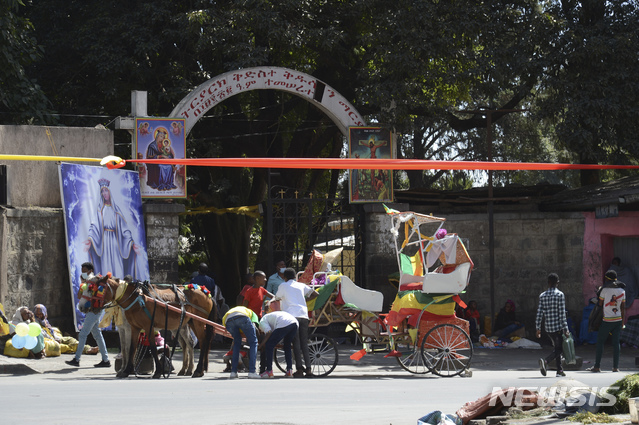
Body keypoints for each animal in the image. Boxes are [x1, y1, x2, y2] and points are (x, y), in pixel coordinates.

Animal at [78, 274, 216, 378]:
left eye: (92, 289)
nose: (81, 307)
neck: (136, 298)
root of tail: (206, 293)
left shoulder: (147, 326)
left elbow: (152, 348)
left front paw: (158, 371)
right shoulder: (134, 328)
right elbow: (131, 348)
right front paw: (126, 370)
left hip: (198, 322)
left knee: (202, 342)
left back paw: (197, 370)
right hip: (187, 323)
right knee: (188, 343)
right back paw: (188, 370)